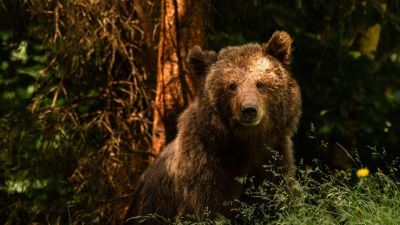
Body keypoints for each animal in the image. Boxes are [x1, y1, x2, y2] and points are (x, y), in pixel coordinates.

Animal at [124, 30, 300, 224]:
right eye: (232, 85)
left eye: (260, 83)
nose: (249, 109)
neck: (246, 143)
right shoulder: (205, 166)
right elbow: (205, 209)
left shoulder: (273, 157)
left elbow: (276, 200)